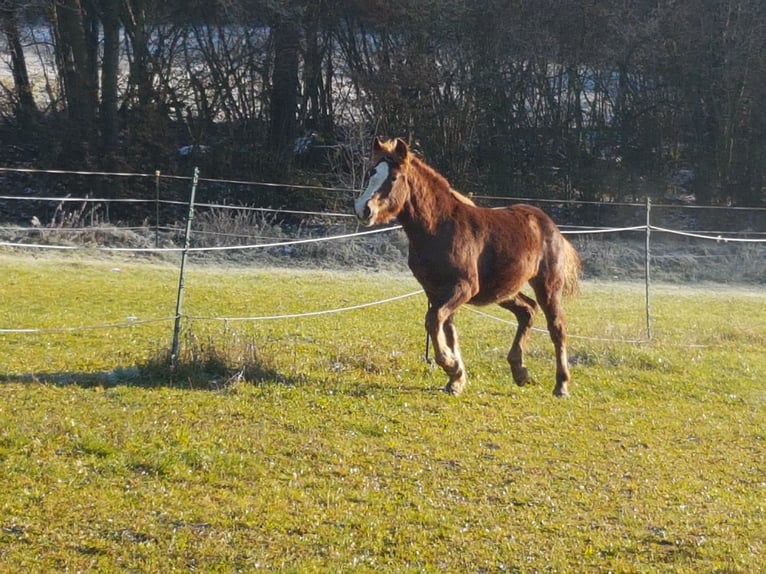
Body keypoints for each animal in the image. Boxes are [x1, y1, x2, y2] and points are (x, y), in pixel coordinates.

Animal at [354, 139, 584, 398]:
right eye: (371, 173)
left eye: (393, 177)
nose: (363, 209)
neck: (438, 227)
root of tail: (551, 226)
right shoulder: (435, 291)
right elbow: (446, 328)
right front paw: (455, 379)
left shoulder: (463, 287)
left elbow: (433, 320)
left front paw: (450, 364)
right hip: (503, 291)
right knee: (527, 311)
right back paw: (520, 371)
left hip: (547, 285)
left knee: (557, 327)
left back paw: (561, 385)